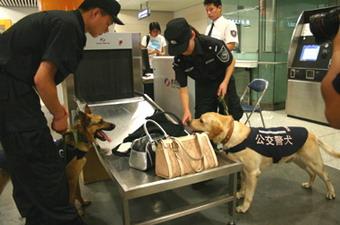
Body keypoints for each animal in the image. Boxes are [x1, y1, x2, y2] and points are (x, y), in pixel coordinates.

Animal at [191, 112, 340, 213]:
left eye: (201, 120)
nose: (189, 120)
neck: (232, 134)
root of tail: (312, 133)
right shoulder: (243, 170)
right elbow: (243, 186)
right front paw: (240, 193)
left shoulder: (252, 173)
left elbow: (249, 194)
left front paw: (244, 207)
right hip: (300, 161)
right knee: (312, 174)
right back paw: (309, 184)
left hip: (314, 162)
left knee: (326, 177)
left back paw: (331, 193)